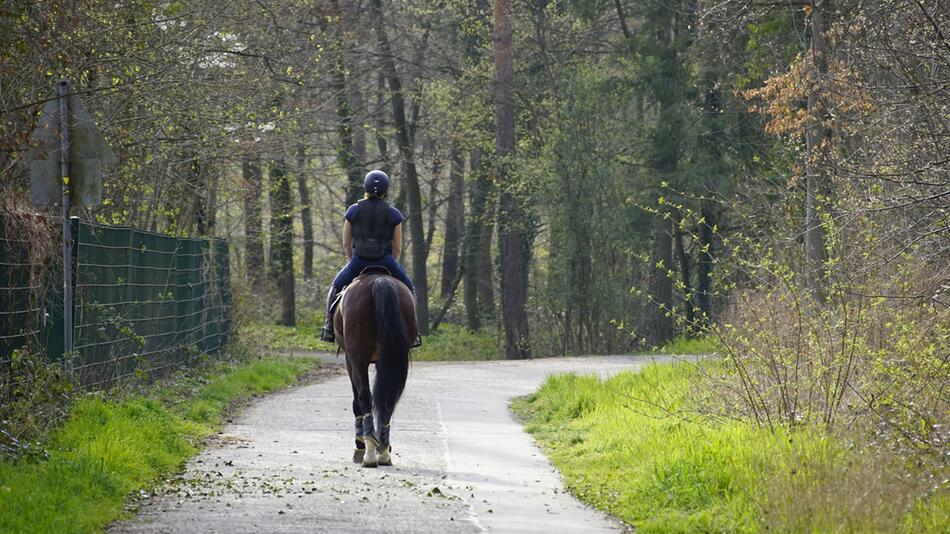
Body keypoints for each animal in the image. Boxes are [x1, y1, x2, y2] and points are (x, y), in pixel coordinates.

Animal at [334, 272, 416, 468]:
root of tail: (380, 280)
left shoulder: (350, 361)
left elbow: (357, 402)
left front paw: (359, 446)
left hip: (358, 358)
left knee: (364, 397)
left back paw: (369, 451)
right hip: (392, 356)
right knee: (388, 400)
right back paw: (384, 450)